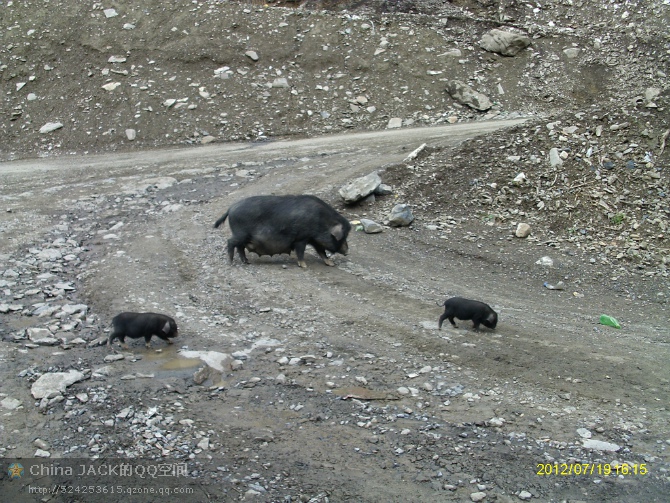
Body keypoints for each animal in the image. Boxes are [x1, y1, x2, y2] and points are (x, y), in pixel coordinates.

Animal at [215, 195, 352, 270]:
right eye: (343, 236)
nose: (347, 251)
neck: (321, 222)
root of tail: (231, 208)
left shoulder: (313, 240)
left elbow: (322, 252)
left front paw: (331, 264)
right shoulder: (301, 238)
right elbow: (301, 251)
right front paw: (304, 266)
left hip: (243, 237)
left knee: (240, 247)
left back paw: (246, 262)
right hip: (240, 234)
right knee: (230, 242)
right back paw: (230, 262)